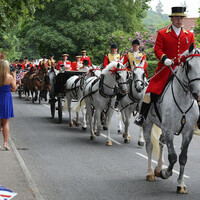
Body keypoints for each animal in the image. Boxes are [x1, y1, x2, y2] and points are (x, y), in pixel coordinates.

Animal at [142, 43, 200, 194]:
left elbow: (183, 158)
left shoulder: (188, 132)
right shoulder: (168, 130)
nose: (197, 93)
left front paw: (181, 184)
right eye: (188, 66)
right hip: (148, 123)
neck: (183, 99)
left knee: (161, 142)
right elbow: (173, 157)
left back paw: (157, 169)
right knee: (150, 146)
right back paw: (150, 172)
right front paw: (165, 173)